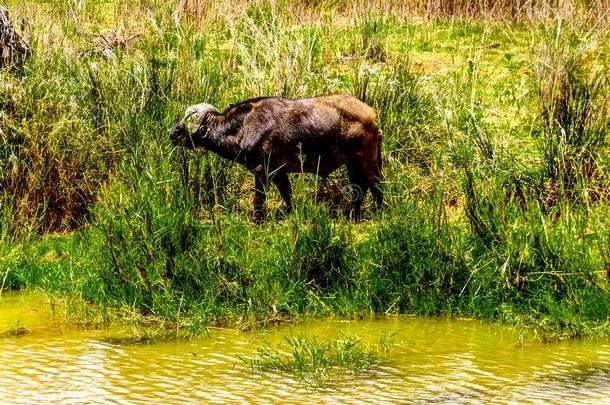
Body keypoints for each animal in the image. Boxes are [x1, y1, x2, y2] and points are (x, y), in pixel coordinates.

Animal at [167, 94, 380, 221]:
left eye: (185, 126)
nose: (171, 132)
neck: (244, 127)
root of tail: (372, 113)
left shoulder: (262, 171)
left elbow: (259, 199)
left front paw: (257, 220)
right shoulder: (279, 172)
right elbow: (287, 194)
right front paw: (292, 212)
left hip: (365, 161)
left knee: (375, 186)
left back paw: (377, 211)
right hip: (352, 164)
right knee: (359, 188)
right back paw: (353, 214)